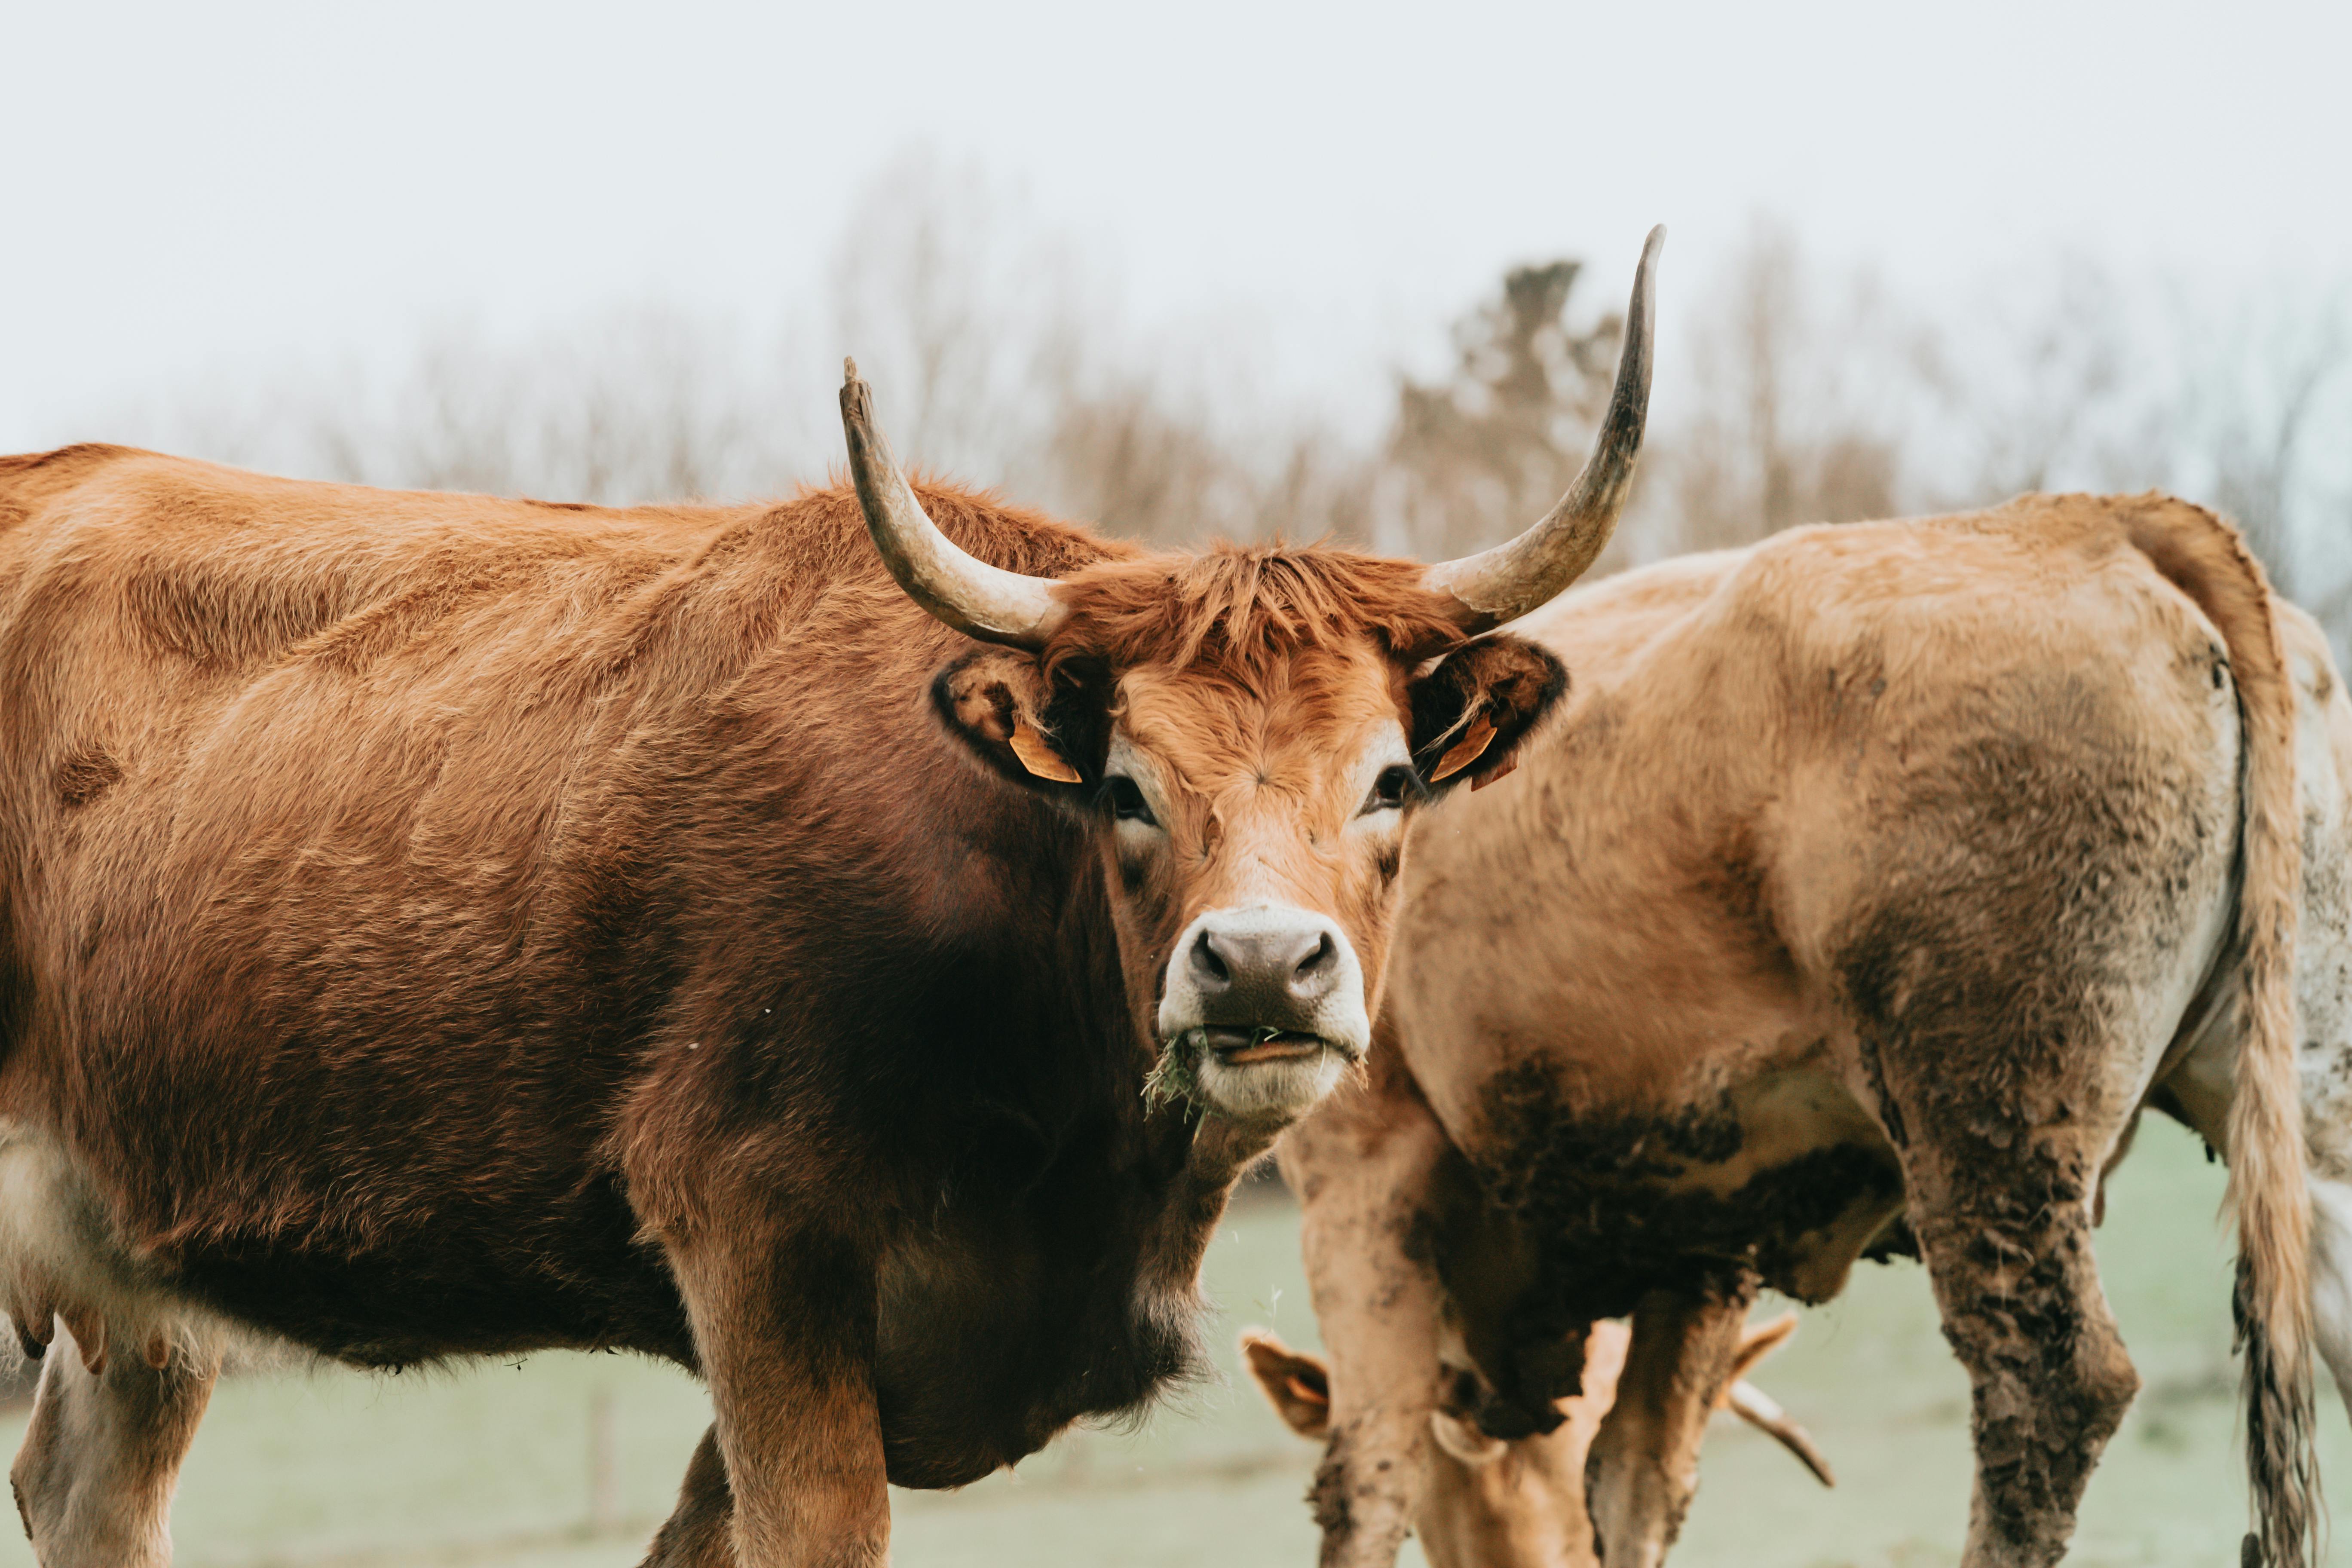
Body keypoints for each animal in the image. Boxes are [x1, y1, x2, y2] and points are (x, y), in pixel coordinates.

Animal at [0, 233, 1665, 1568]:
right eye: (1125, 786)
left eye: (1389, 781)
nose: (1259, 963)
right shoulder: (755, 1240)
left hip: (126, 1280)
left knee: (89, 1485)